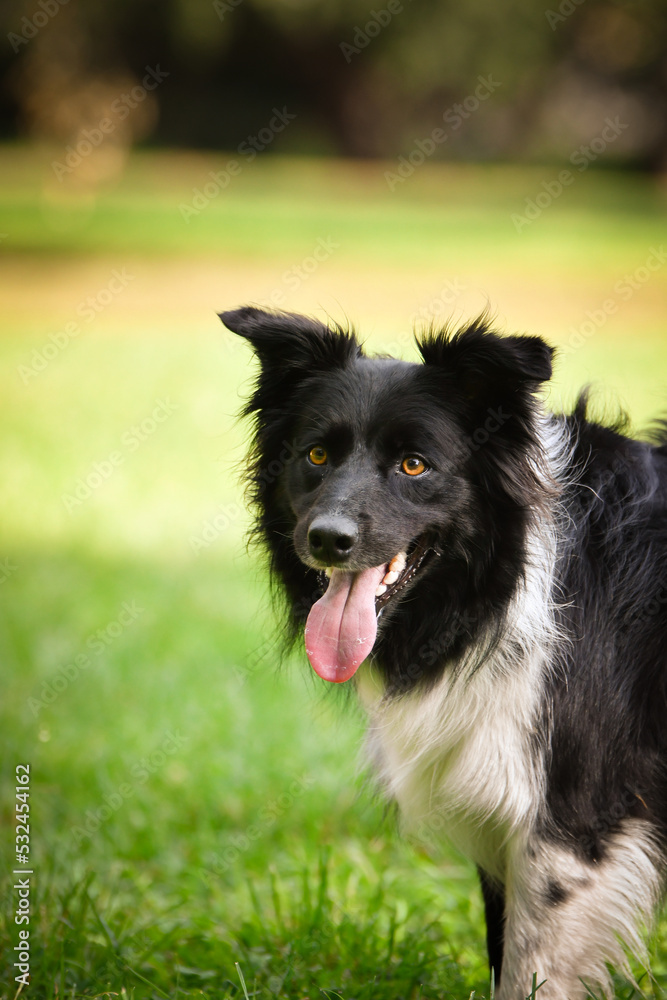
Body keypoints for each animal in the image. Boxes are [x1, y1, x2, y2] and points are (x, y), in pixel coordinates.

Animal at [220, 304, 667, 1000]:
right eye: (316, 454)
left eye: (414, 465)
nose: (325, 539)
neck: (509, 580)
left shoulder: (573, 817)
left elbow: (530, 969)